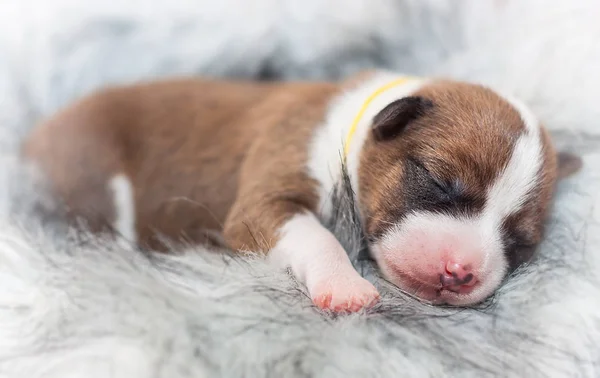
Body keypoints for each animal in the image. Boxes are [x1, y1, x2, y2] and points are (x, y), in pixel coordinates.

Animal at [21, 71, 580, 314]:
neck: (352, 126)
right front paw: (346, 285)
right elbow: (318, 237)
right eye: (439, 181)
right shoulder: (269, 195)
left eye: (520, 243)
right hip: (93, 171)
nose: (459, 273)